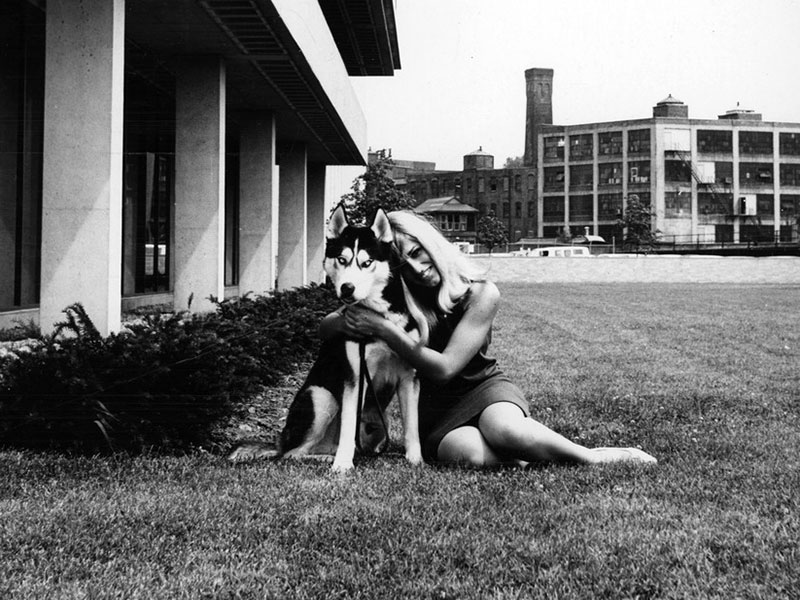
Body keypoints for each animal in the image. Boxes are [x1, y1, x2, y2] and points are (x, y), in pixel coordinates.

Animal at [228, 206, 422, 474]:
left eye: (367, 263)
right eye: (341, 259)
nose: (347, 288)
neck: (378, 317)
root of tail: (280, 440)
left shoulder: (408, 376)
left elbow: (411, 426)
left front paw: (415, 460)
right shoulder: (355, 376)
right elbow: (349, 425)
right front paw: (342, 465)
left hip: (375, 427)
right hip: (321, 397)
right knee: (292, 454)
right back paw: (327, 458)